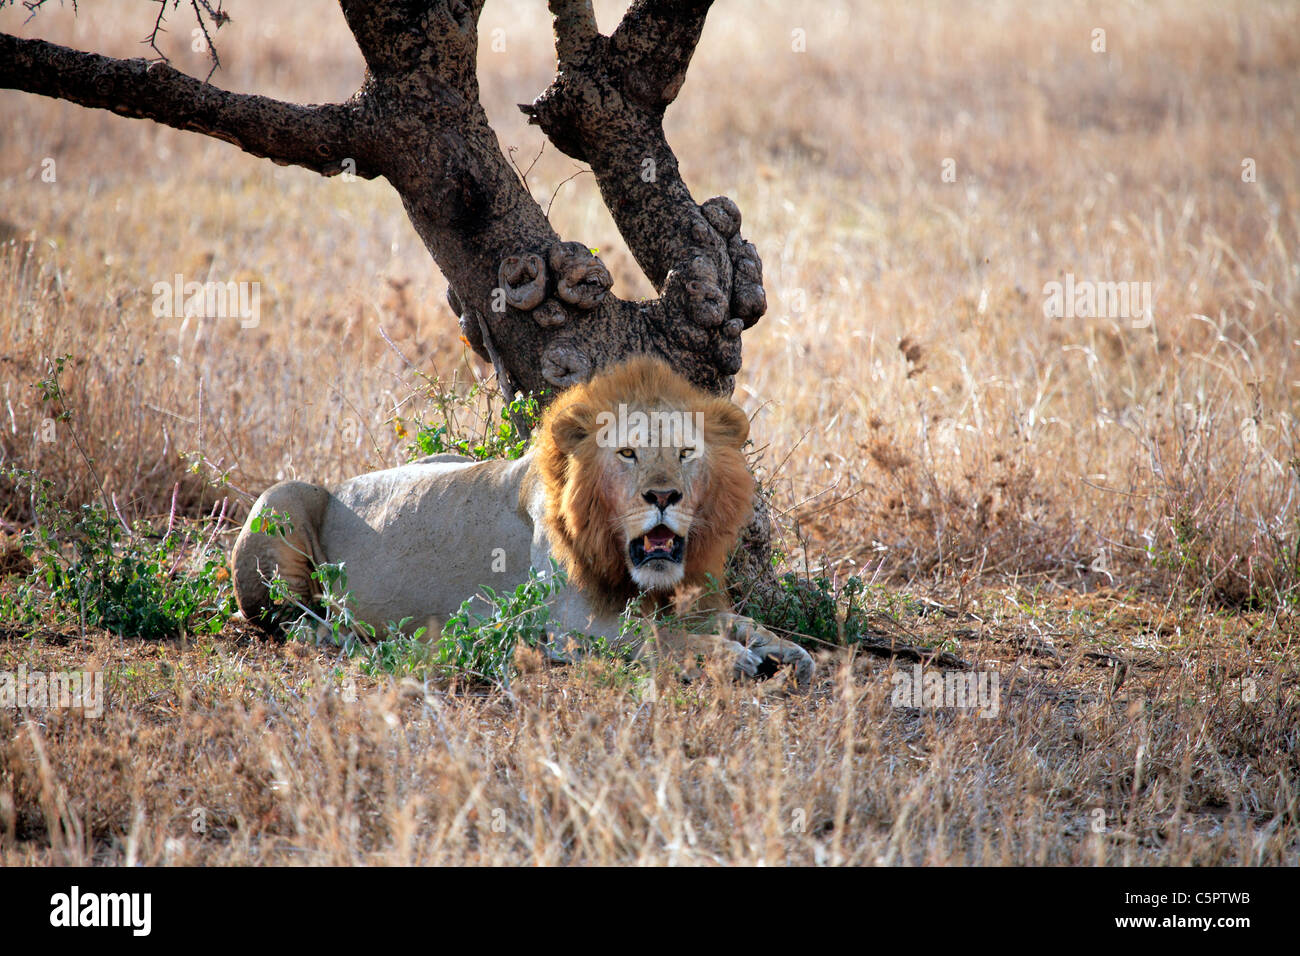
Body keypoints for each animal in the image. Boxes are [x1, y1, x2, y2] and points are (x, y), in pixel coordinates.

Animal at [231, 356, 814, 687]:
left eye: (687, 452)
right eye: (627, 454)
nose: (664, 495)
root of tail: (344, 483)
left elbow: (738, 621)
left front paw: (786, 650)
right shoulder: (567, 622)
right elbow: (652, 639)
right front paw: (729, 659)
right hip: (281, 500)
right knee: (291, 622)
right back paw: (354, 635)